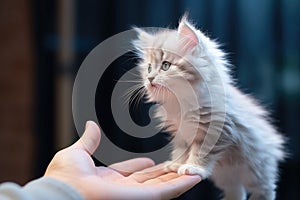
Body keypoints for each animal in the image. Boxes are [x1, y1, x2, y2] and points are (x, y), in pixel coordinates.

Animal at [132, 16, 284, 200]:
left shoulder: (216, 129)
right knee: (236, 191)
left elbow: (200, 152)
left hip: (255, 168)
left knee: (265, 189)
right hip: (225, 176)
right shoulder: (180, 133)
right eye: (148, 68)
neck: (181, 102)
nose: (150, 78)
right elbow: (181, 150)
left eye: (165, 65)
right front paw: (176, 164)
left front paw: (193, 167)